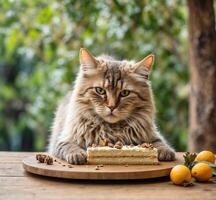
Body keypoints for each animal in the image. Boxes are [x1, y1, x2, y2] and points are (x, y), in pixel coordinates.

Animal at [47, 48, 176, 164]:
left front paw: (166, 152)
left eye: (125, 93)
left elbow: (159, 143)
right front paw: (78, 155)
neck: (112, 130)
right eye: (100, 90)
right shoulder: (61, 140)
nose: (112, 107)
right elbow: (69, 146)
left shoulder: (152, 134)